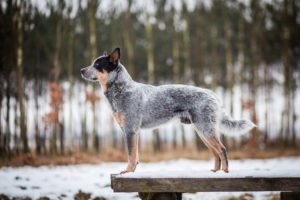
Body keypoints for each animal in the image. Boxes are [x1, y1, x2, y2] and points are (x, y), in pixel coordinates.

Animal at [80, 47, 255, 173]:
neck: (121, 89)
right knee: (215, 152)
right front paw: (132, 170)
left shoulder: (130, 130)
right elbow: (136, 155)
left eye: (97, 65)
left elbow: (131, 155)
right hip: (203, 131)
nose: (81, 70)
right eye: (92, 63)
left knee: (222, 149)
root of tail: (212, 94)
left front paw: (127, 171)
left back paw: (225, 172)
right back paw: (215, 171)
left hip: (205, 129)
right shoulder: (133, 131)